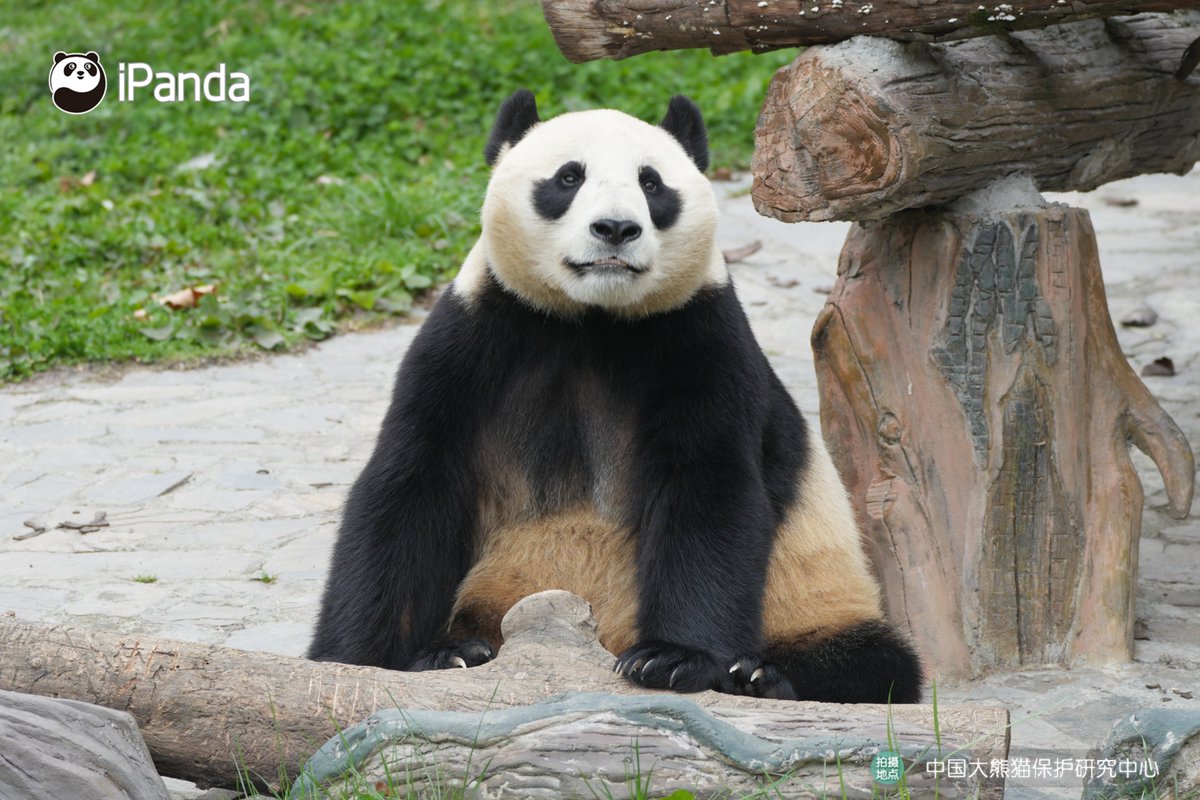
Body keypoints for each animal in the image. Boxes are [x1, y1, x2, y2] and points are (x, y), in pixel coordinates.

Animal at [308, 90, 923, 703]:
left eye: (652, 184)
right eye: (568, 177)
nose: (615, 228)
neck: (591, 320)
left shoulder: (700, 341)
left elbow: (708, 491)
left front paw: (674, 659)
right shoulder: (475, 341)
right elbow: (409, 487)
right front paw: (358, 660)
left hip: (816, 596)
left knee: (874, 661)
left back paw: (760, 677)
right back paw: (457, 651)